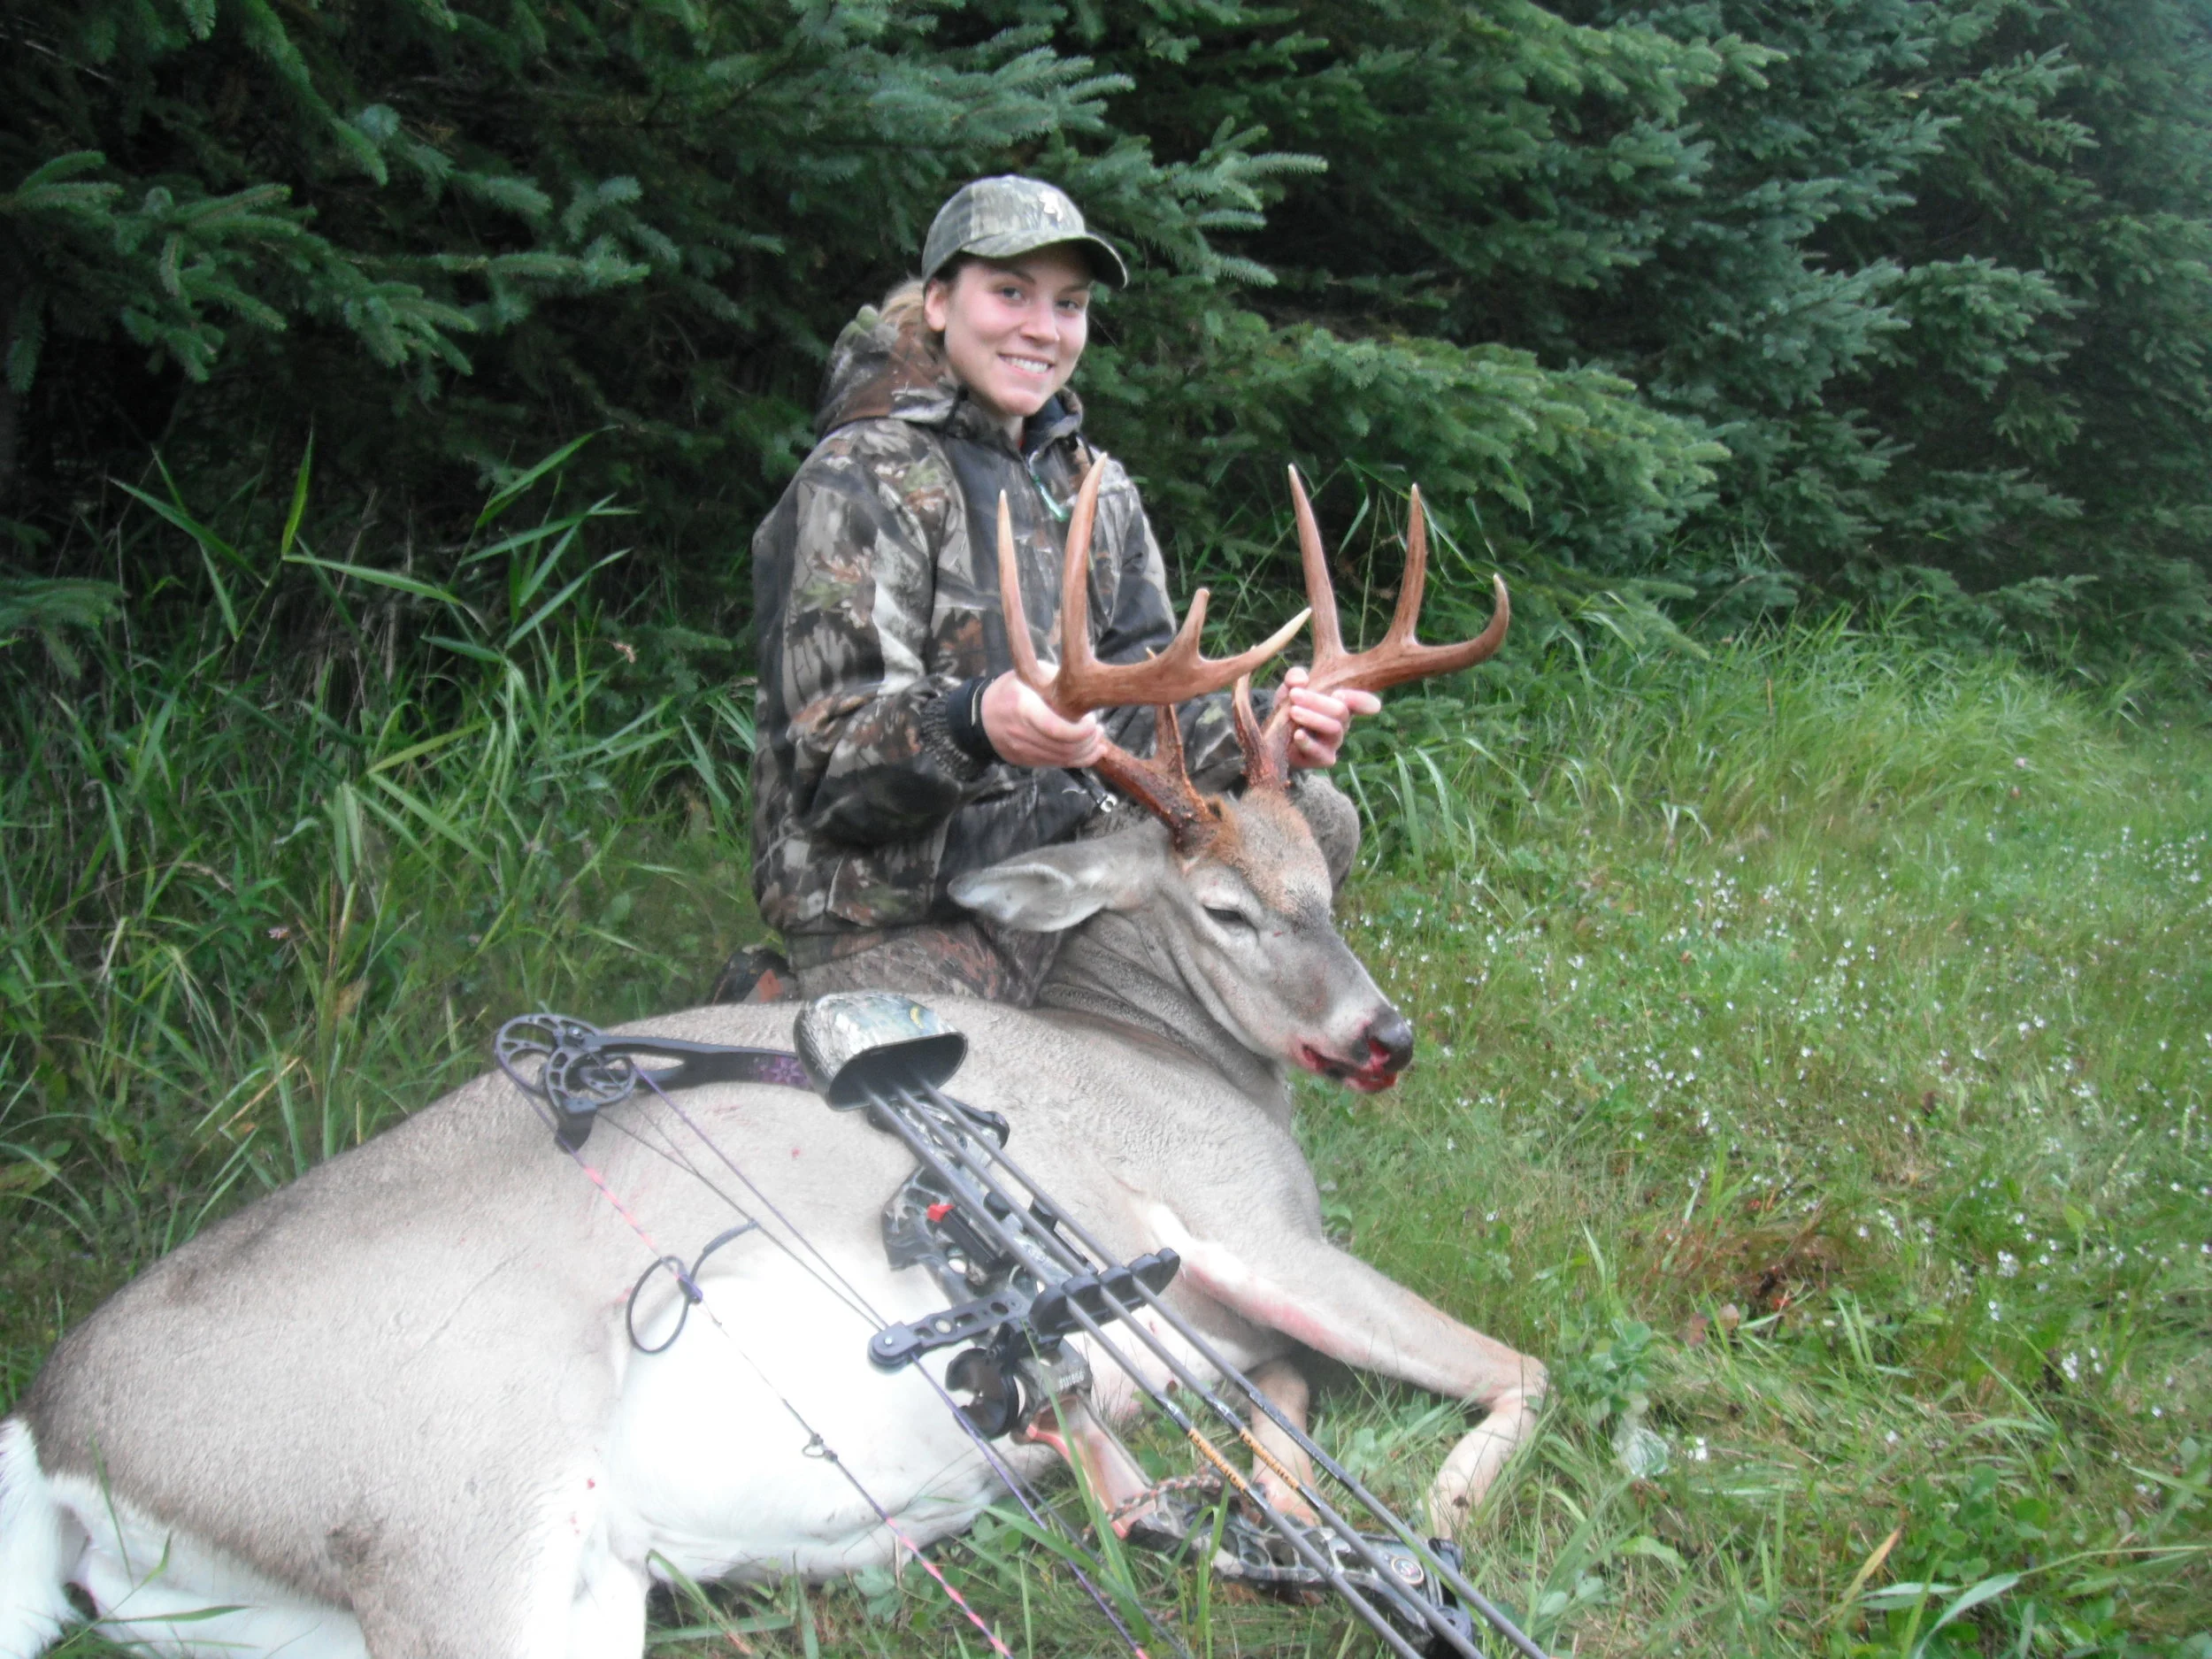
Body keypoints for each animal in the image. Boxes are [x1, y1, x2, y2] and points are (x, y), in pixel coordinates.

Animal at [0, 462, 1541, 1659]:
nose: (1384, 1033)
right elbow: (1514, 1365)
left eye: (1325, 880)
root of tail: (48, 1432)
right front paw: (1442, 1523)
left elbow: (1293, 1434)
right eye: (1227, 908)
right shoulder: (1240, 1227)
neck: (1176, 1055)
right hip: (459, 1517)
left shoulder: (1245, 1333)